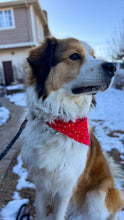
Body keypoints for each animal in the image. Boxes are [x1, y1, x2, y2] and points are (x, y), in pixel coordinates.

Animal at [20, 37, 123, 219]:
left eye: (93, 55)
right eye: (74, 56)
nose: (113, 67)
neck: (59, 122)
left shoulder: (66, 188)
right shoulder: (41, 184)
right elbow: (40, 212)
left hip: (97, 196)